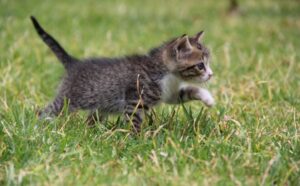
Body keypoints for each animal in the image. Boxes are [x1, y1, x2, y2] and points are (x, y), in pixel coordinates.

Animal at [30, 16, 214, 132]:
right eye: (200, 65)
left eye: (208, 63)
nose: (211, 75)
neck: (166, 73)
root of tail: (74, 63)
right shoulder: (135, 101)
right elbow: (134, 122)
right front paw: (137, 141)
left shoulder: (169, 93)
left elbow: (188, 91)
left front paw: (208, 98)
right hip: (68, 99)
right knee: (47, 110)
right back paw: (39, 126)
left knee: (91, 118)